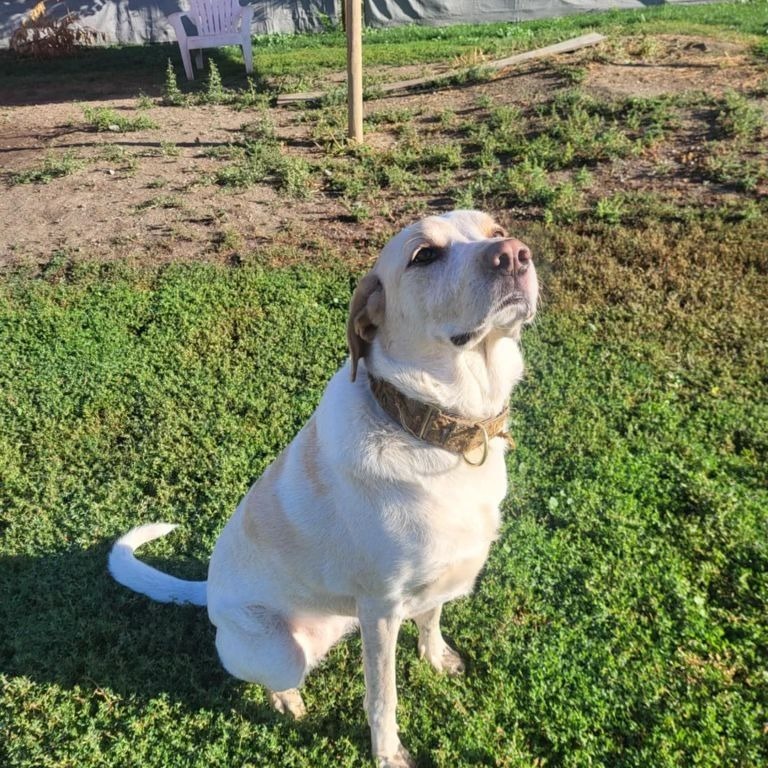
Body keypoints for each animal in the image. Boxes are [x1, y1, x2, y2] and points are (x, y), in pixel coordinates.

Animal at [108, 210, 540, 768]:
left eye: (495, 230)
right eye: (424, 255)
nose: (513, 254)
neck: (435, 430)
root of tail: (209, 591)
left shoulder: (434, 580)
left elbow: (432, 618)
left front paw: (437, 657)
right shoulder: (381, 609)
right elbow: (382, 697)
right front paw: (388, 754)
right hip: (284, 650)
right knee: (271, 677)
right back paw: (287, 701)